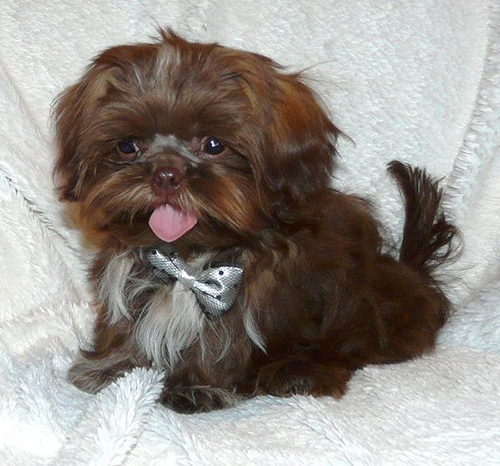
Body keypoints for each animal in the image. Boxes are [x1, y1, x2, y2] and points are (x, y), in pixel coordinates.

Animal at [53, 29, 458, 414]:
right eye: (127, 146)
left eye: (213, 145)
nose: (166, 174)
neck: (188, 254)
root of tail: (414, 276)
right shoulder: (128, 269)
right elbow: (122, 319)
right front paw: (111, 366)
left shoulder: (247, 294)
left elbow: (220, 339)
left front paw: (196, 385)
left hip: (365, 303)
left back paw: (299, 373)